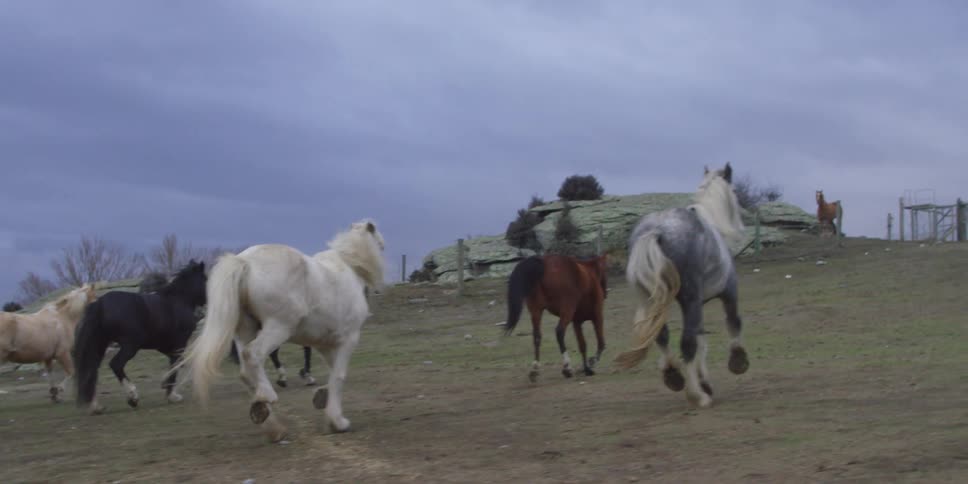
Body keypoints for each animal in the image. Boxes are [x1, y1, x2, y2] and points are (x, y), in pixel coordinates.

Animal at [73, 260, 207, 414]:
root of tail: (100, 304)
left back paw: (96, 406)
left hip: (100, 345)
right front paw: (172, 395)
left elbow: (175, 363)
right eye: (205, 278)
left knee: (91, 370)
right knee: (115, 364)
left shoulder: (164, 345)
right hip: (130, 345)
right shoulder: (180, 343)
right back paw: (132, 397)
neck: (178, 300)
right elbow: (177, 364)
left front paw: (167, 388)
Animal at [172, 220, 385, 443]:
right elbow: (339, 376)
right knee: (253, 354)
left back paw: (271, 424)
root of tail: (244, 261)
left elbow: (332, 370)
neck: (350, 268)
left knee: (246, 372)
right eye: (381, 245)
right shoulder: (348, 340)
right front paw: (338, 422)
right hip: (278, 328)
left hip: (246, 330)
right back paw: (268, 397)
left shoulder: (324, 344)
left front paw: (321, 397)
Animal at [503, 253, 608, 383]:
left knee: (537, 336)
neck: (590, 275)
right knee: (559, 332)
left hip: (536, 310)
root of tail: (543, 263)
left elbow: (582, 345)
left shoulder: (577, 322)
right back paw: (567, 368)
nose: (605, 294)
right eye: (604, 271)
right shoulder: (597, 316)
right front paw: (591, 363)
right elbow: (601, 343)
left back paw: (535, 370)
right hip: (567, 310)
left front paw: (587, 368)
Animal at [614, 162, 750, 408]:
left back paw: (674, 376)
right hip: (690, 299)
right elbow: (733, 323)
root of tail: (656, 230)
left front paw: (705, 381)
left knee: (663, 336)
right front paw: (738, 361)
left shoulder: (697, 306)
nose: (742, 223)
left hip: (652, 300)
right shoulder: (727, 293)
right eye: (735, 191)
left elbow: (701, 340)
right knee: (686, 343)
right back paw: (697, 396)